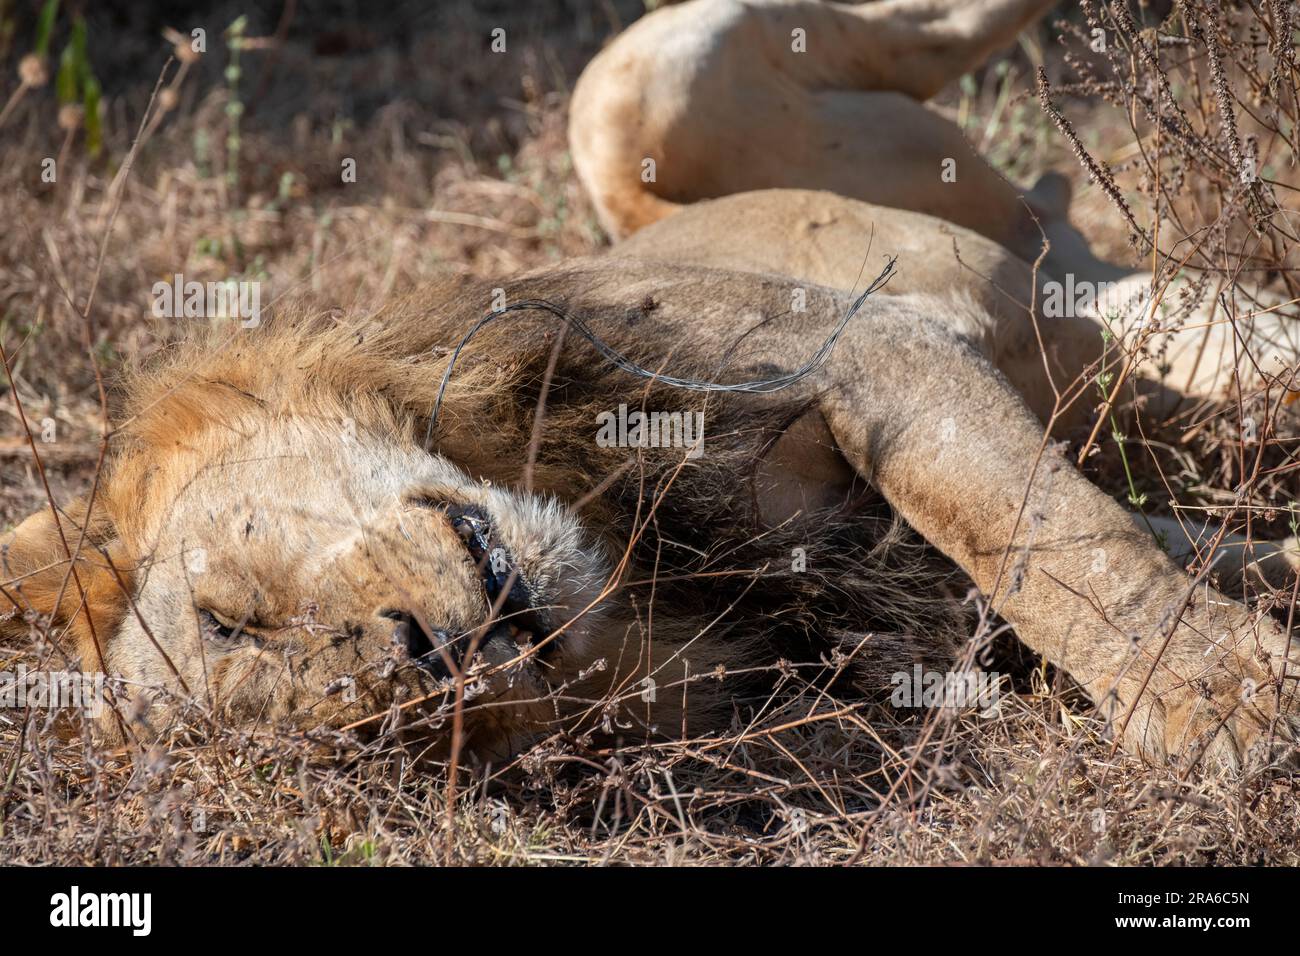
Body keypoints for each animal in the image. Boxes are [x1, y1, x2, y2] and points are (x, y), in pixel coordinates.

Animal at [2, 0, 1300, 764]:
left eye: (230, 617)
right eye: (374, 744)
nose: (420, 662)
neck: (621, 540)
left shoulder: (856, 346)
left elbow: (1048, 541)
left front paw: (1218, 697)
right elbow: (1148, 545)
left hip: (642, 92)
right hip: (1142, 310)